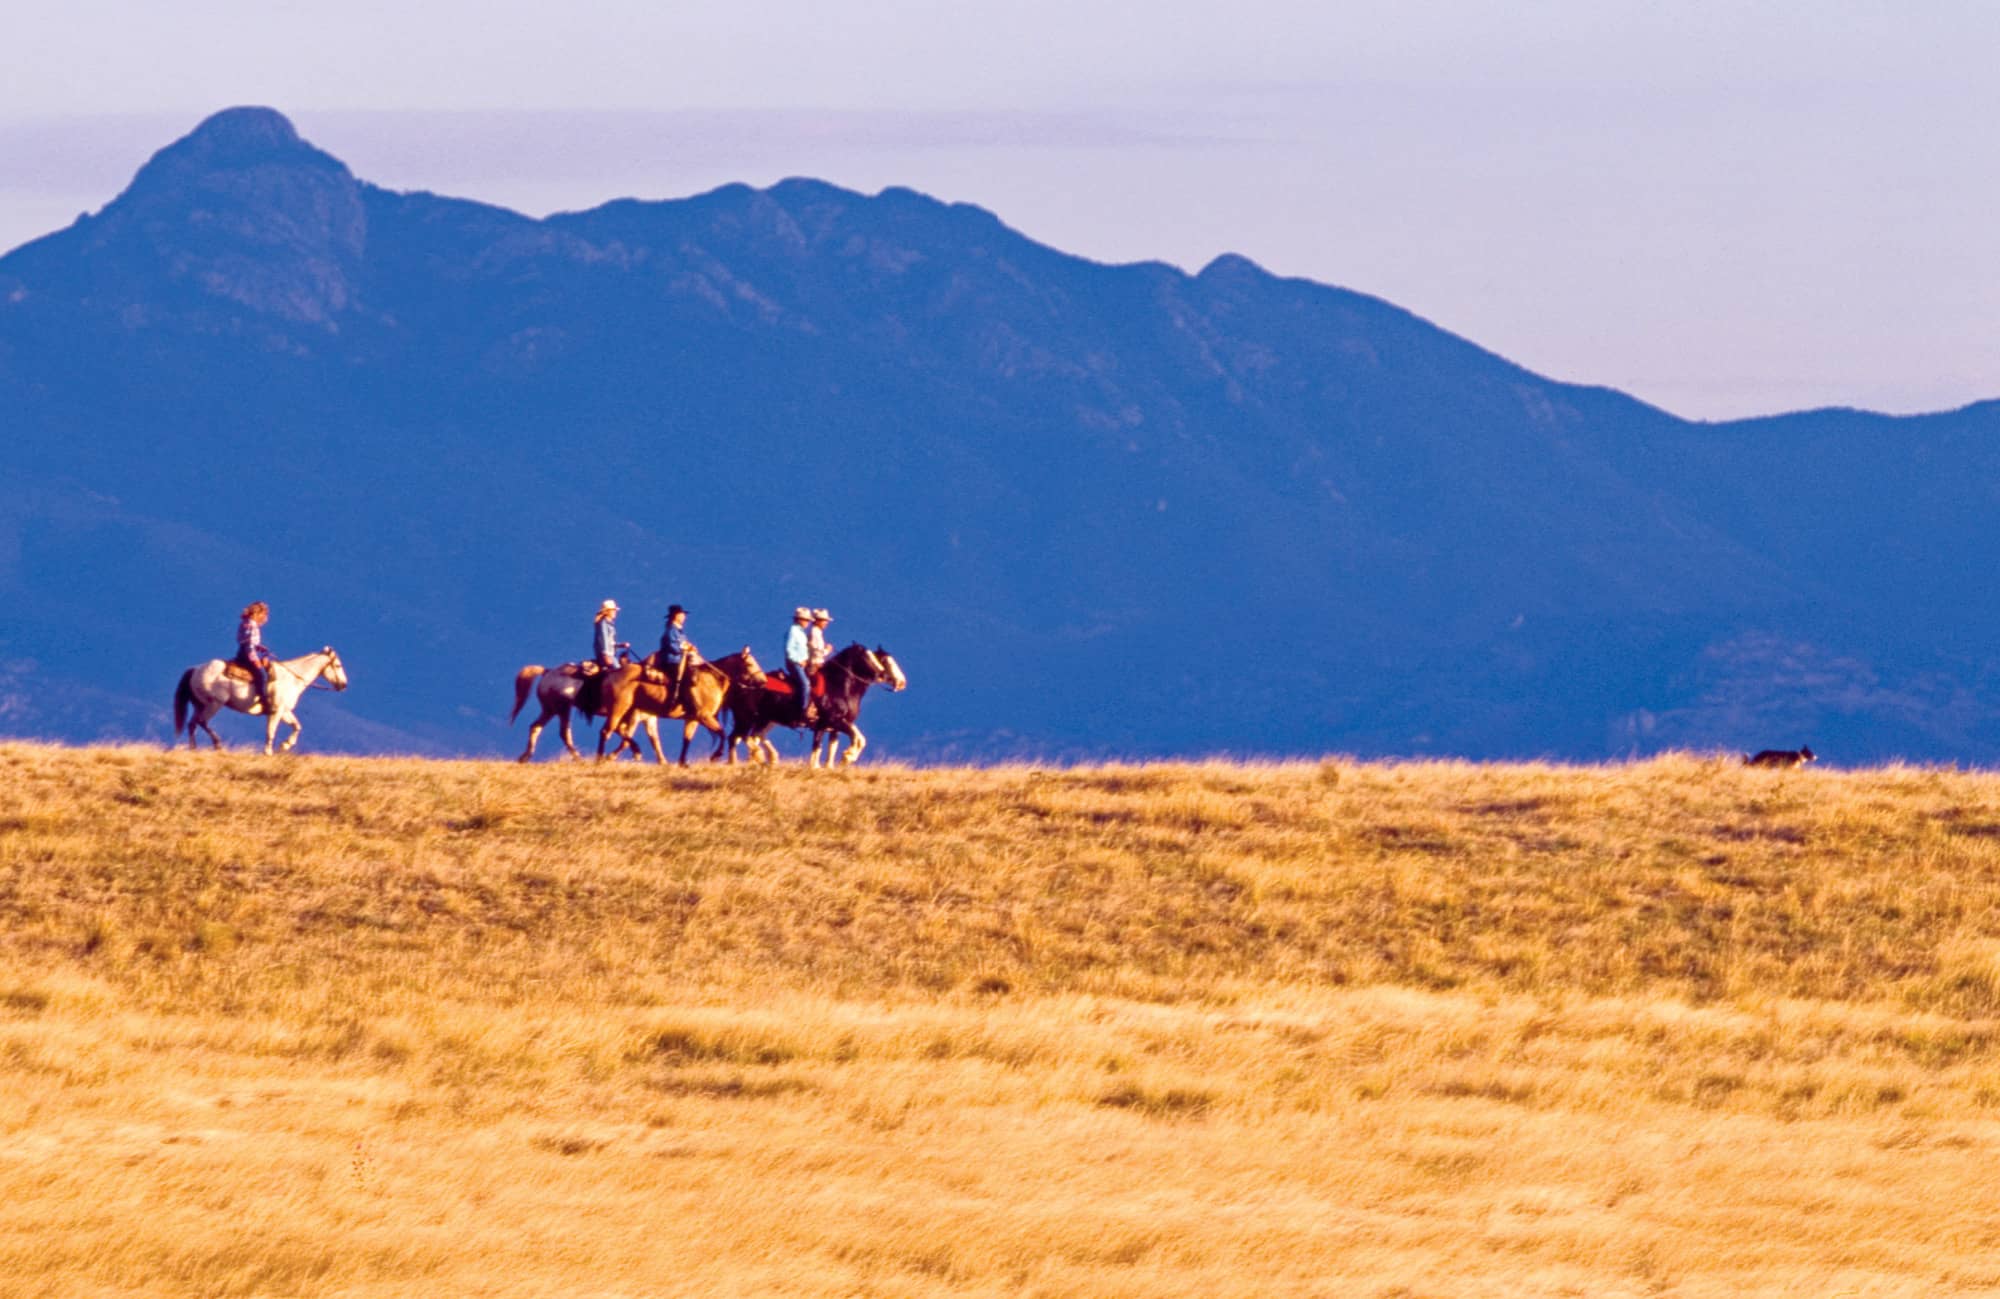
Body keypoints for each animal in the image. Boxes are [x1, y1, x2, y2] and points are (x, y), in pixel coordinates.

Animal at [173, 643, 352, 747]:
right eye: (338, 665)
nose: (343, 685)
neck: (290, 678)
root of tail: (196, 669)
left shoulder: (284, 711)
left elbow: (297, 726)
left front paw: (286, 745)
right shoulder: (276, 711)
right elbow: (270, 732)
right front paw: (269, 753)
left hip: (200, 704)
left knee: (192, 724)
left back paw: (194, 749)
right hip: (214, 703)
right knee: (202, 722)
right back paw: (217, 744)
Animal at [592, 643, 764, 759]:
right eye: (749, 663)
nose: (763, 681)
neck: (711, 679)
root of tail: (611, 674)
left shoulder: (692, 719)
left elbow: (687, 739)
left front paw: (682, 763)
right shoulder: (704, 716)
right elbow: (721, 732)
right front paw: (716, 755)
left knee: (618, 731)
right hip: (618, 710)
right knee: (607, 731)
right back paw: (602, 758)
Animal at [728, 639, 908, 763]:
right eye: (868, 657)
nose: (901, 683)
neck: (838, 686)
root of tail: (741, 683)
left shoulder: (833, 725)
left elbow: (834, 746)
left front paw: (834, 764)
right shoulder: (834, 722)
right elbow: (848, 740)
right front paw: (847, 757)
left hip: (765, 720)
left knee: (753, 737)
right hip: (748, 719)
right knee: (740, 737)